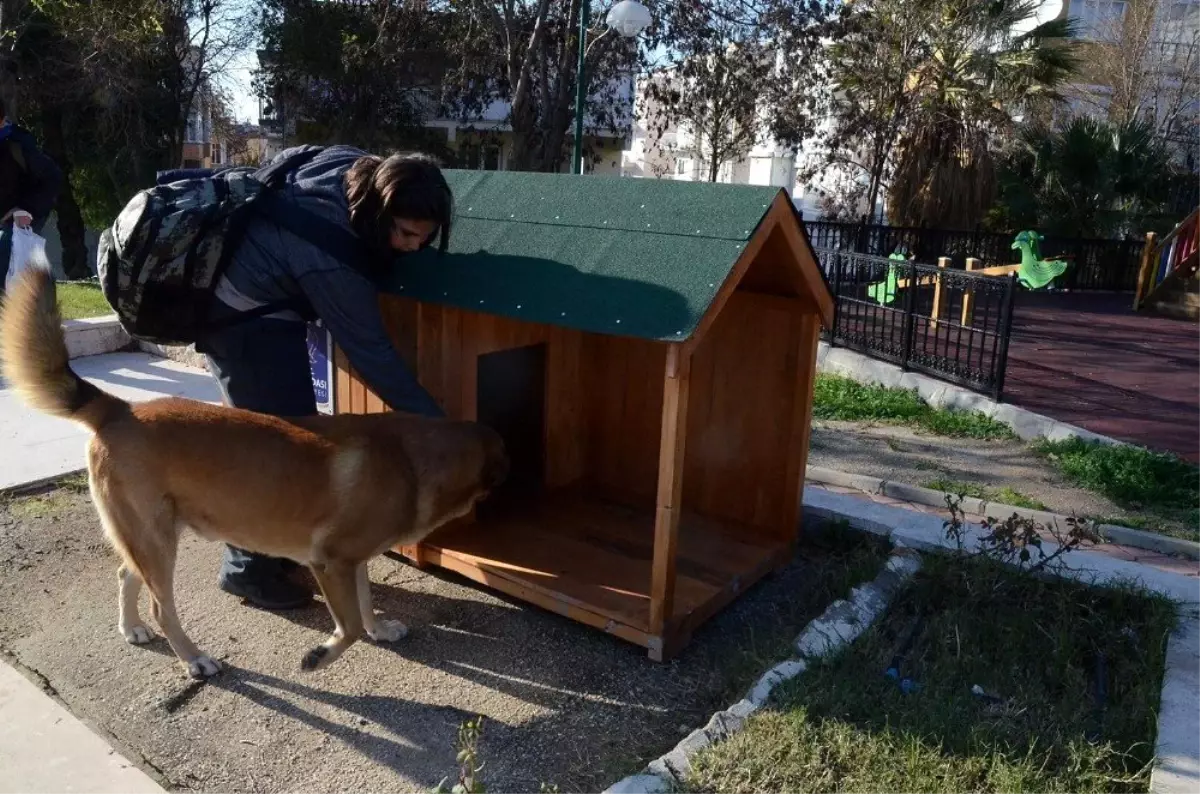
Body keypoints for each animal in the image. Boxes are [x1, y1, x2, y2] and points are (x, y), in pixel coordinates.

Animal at [0, 263, 508, 681]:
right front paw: (321, 655)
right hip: (157, 541)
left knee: (126, 574)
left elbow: (365, 605)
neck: (412, 457)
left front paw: (378, 629)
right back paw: (193, 658)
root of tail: (119, 409)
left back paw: (132, 628)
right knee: (162, 606)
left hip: (149, 536)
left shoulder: (354, 561)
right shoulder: (331, 562)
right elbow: (346, 628)